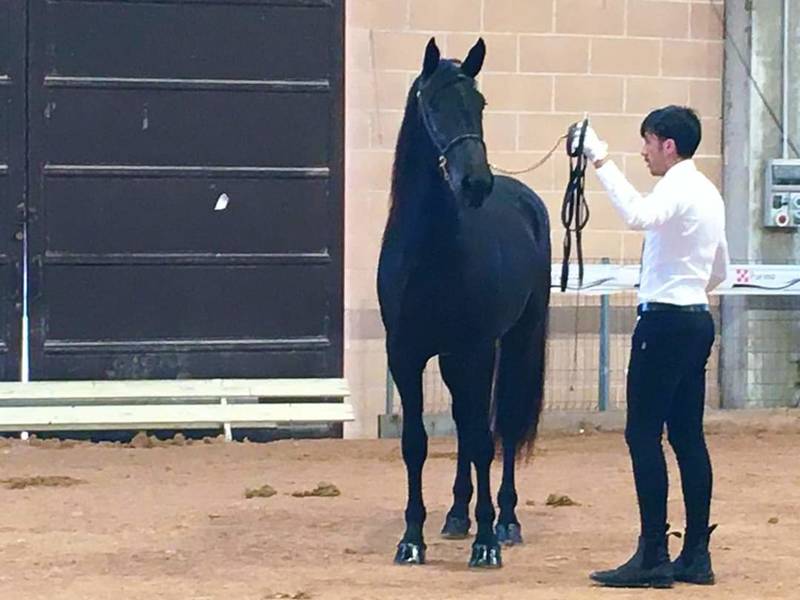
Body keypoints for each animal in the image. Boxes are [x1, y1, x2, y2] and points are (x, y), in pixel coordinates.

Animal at [377, 37, 551, 568]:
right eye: (433, 104)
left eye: (480, 104)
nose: (476, 183)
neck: (429, 251)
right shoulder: (406, 355)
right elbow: (417, 443)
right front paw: (412, 539)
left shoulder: (477, 348)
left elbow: (481, 440)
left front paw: (487, 542)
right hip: (454, 358)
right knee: (463, 420)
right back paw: (457, 514)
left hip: (513, 343)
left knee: (503, 425)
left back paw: (506, 521)